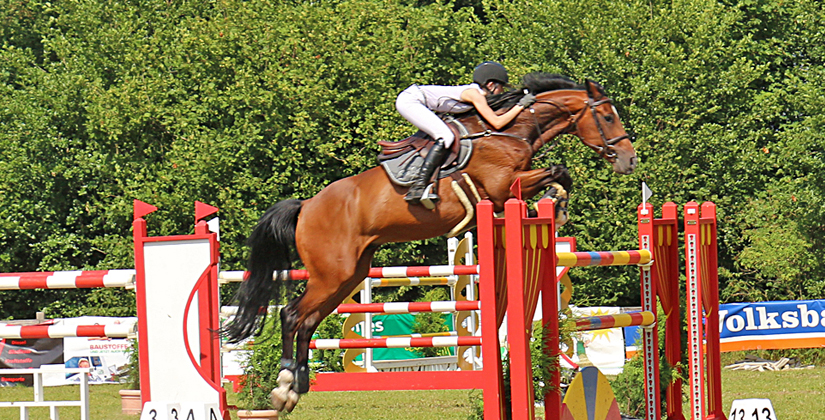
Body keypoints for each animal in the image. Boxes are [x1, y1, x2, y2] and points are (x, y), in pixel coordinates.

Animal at [224, 72, 636, 410]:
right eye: (608, 117)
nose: (629, 160)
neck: (508, 130)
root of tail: (306, 206)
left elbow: (560, 174)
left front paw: (558, 205)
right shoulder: (502, 189)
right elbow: (557, 171)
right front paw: (559, 203)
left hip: (349, 275)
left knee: (307, 320)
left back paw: (298, 387)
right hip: (332, 273)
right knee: (292, 315)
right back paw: (283, 385)